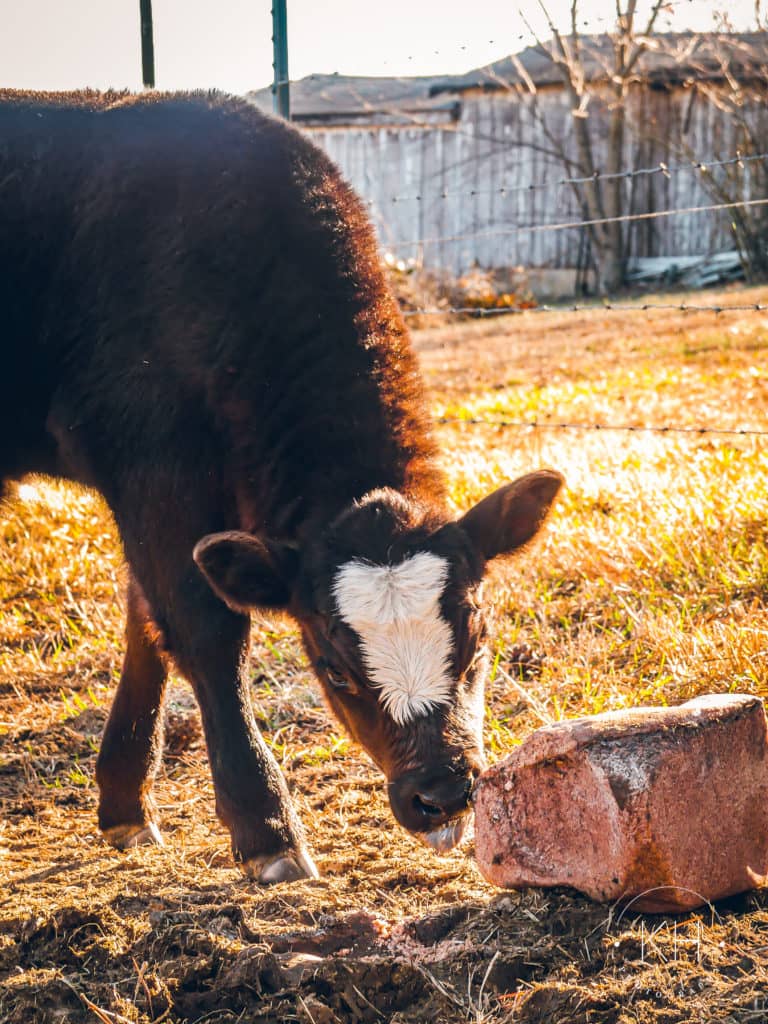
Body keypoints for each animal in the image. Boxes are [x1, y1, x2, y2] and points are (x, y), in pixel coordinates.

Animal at [1, 89, 563, 884]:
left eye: (478, 637)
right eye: (332, 665)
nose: (444, 795)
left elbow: (146, 620)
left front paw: (124, 806)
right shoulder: (152, 466)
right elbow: (203, 631)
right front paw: (267, 828)